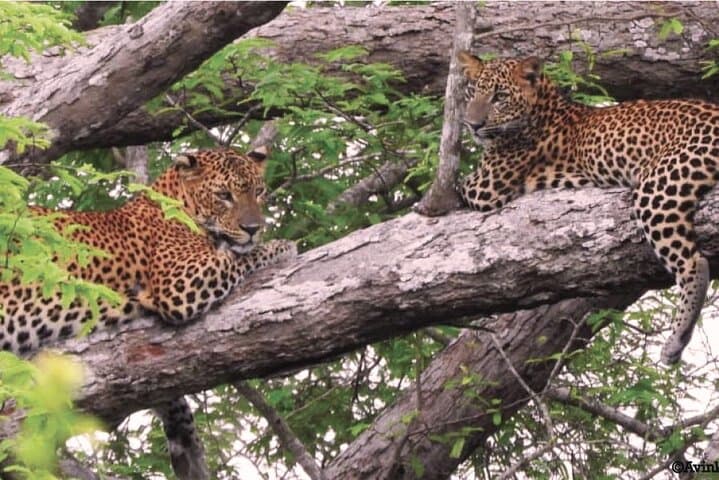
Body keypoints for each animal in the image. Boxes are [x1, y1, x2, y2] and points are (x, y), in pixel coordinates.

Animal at [0, 147, 296, 480]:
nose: (253, 229)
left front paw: (187, 443)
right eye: (224, 195)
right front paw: (281, 246)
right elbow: (237, 258)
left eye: (258, 192)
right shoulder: (181, 282)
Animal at [457, 51, 719, 366]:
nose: (473, 124)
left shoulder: (486, 186)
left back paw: (676, 340)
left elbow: (458, 186)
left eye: (500, 97)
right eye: (472, 92)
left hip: (657, 187)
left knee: (694, 263)